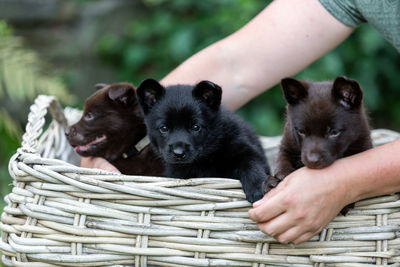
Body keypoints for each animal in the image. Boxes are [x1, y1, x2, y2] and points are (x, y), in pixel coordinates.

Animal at [136, 78, 270, 204]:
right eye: (164, 128)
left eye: (196, 127)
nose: (179, 153)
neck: (205, 159)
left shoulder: (244, 149)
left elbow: (251, 164)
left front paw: (258, 187)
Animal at [264, 76, 374, 214]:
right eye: (301, 131)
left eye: (334, 132)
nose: (312, 161)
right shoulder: (288, 142)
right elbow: (282, 158)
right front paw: (277, 178)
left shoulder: (363, 146)